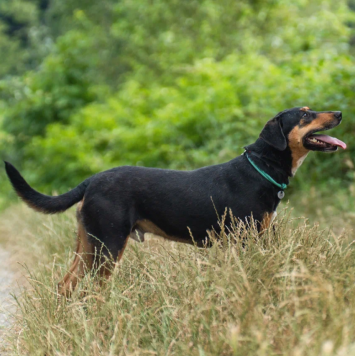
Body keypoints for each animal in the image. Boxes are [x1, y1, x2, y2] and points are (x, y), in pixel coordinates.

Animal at [4, 106, 346, 294]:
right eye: (305, 114)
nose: (340, 113)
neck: (261, 167)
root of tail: (92, 180)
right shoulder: (246, 241)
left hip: (87, 244)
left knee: (66, 285)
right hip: (108, 245)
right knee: (93, 289)